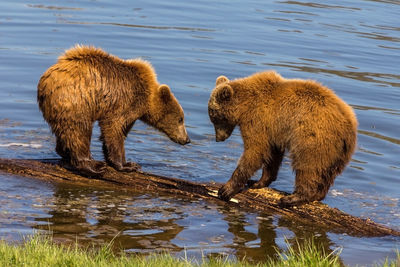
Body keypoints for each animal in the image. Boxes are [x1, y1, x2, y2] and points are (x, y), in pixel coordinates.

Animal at [36, 45, 190, 177]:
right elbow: (114, 128)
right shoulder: (125, 103)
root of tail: (45, 82)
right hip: (76, 101)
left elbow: (119, 131)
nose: (187, 140)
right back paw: (93, 166)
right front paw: (127, 165)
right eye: (180, 119)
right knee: (78, 130)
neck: (147, 98)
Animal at [208, 70, 358, 207]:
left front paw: (226, 190)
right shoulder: (273, 131)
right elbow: (272, 156)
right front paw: (257, 182)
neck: (244, 106)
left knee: (308, 166)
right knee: (327, 173)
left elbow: (255, 151)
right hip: (337, 152)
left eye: (214, 117)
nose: (218, 138)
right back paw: (317, 195)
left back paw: (292, 198)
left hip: (313, 138)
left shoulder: (258, 121)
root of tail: (349, 125)